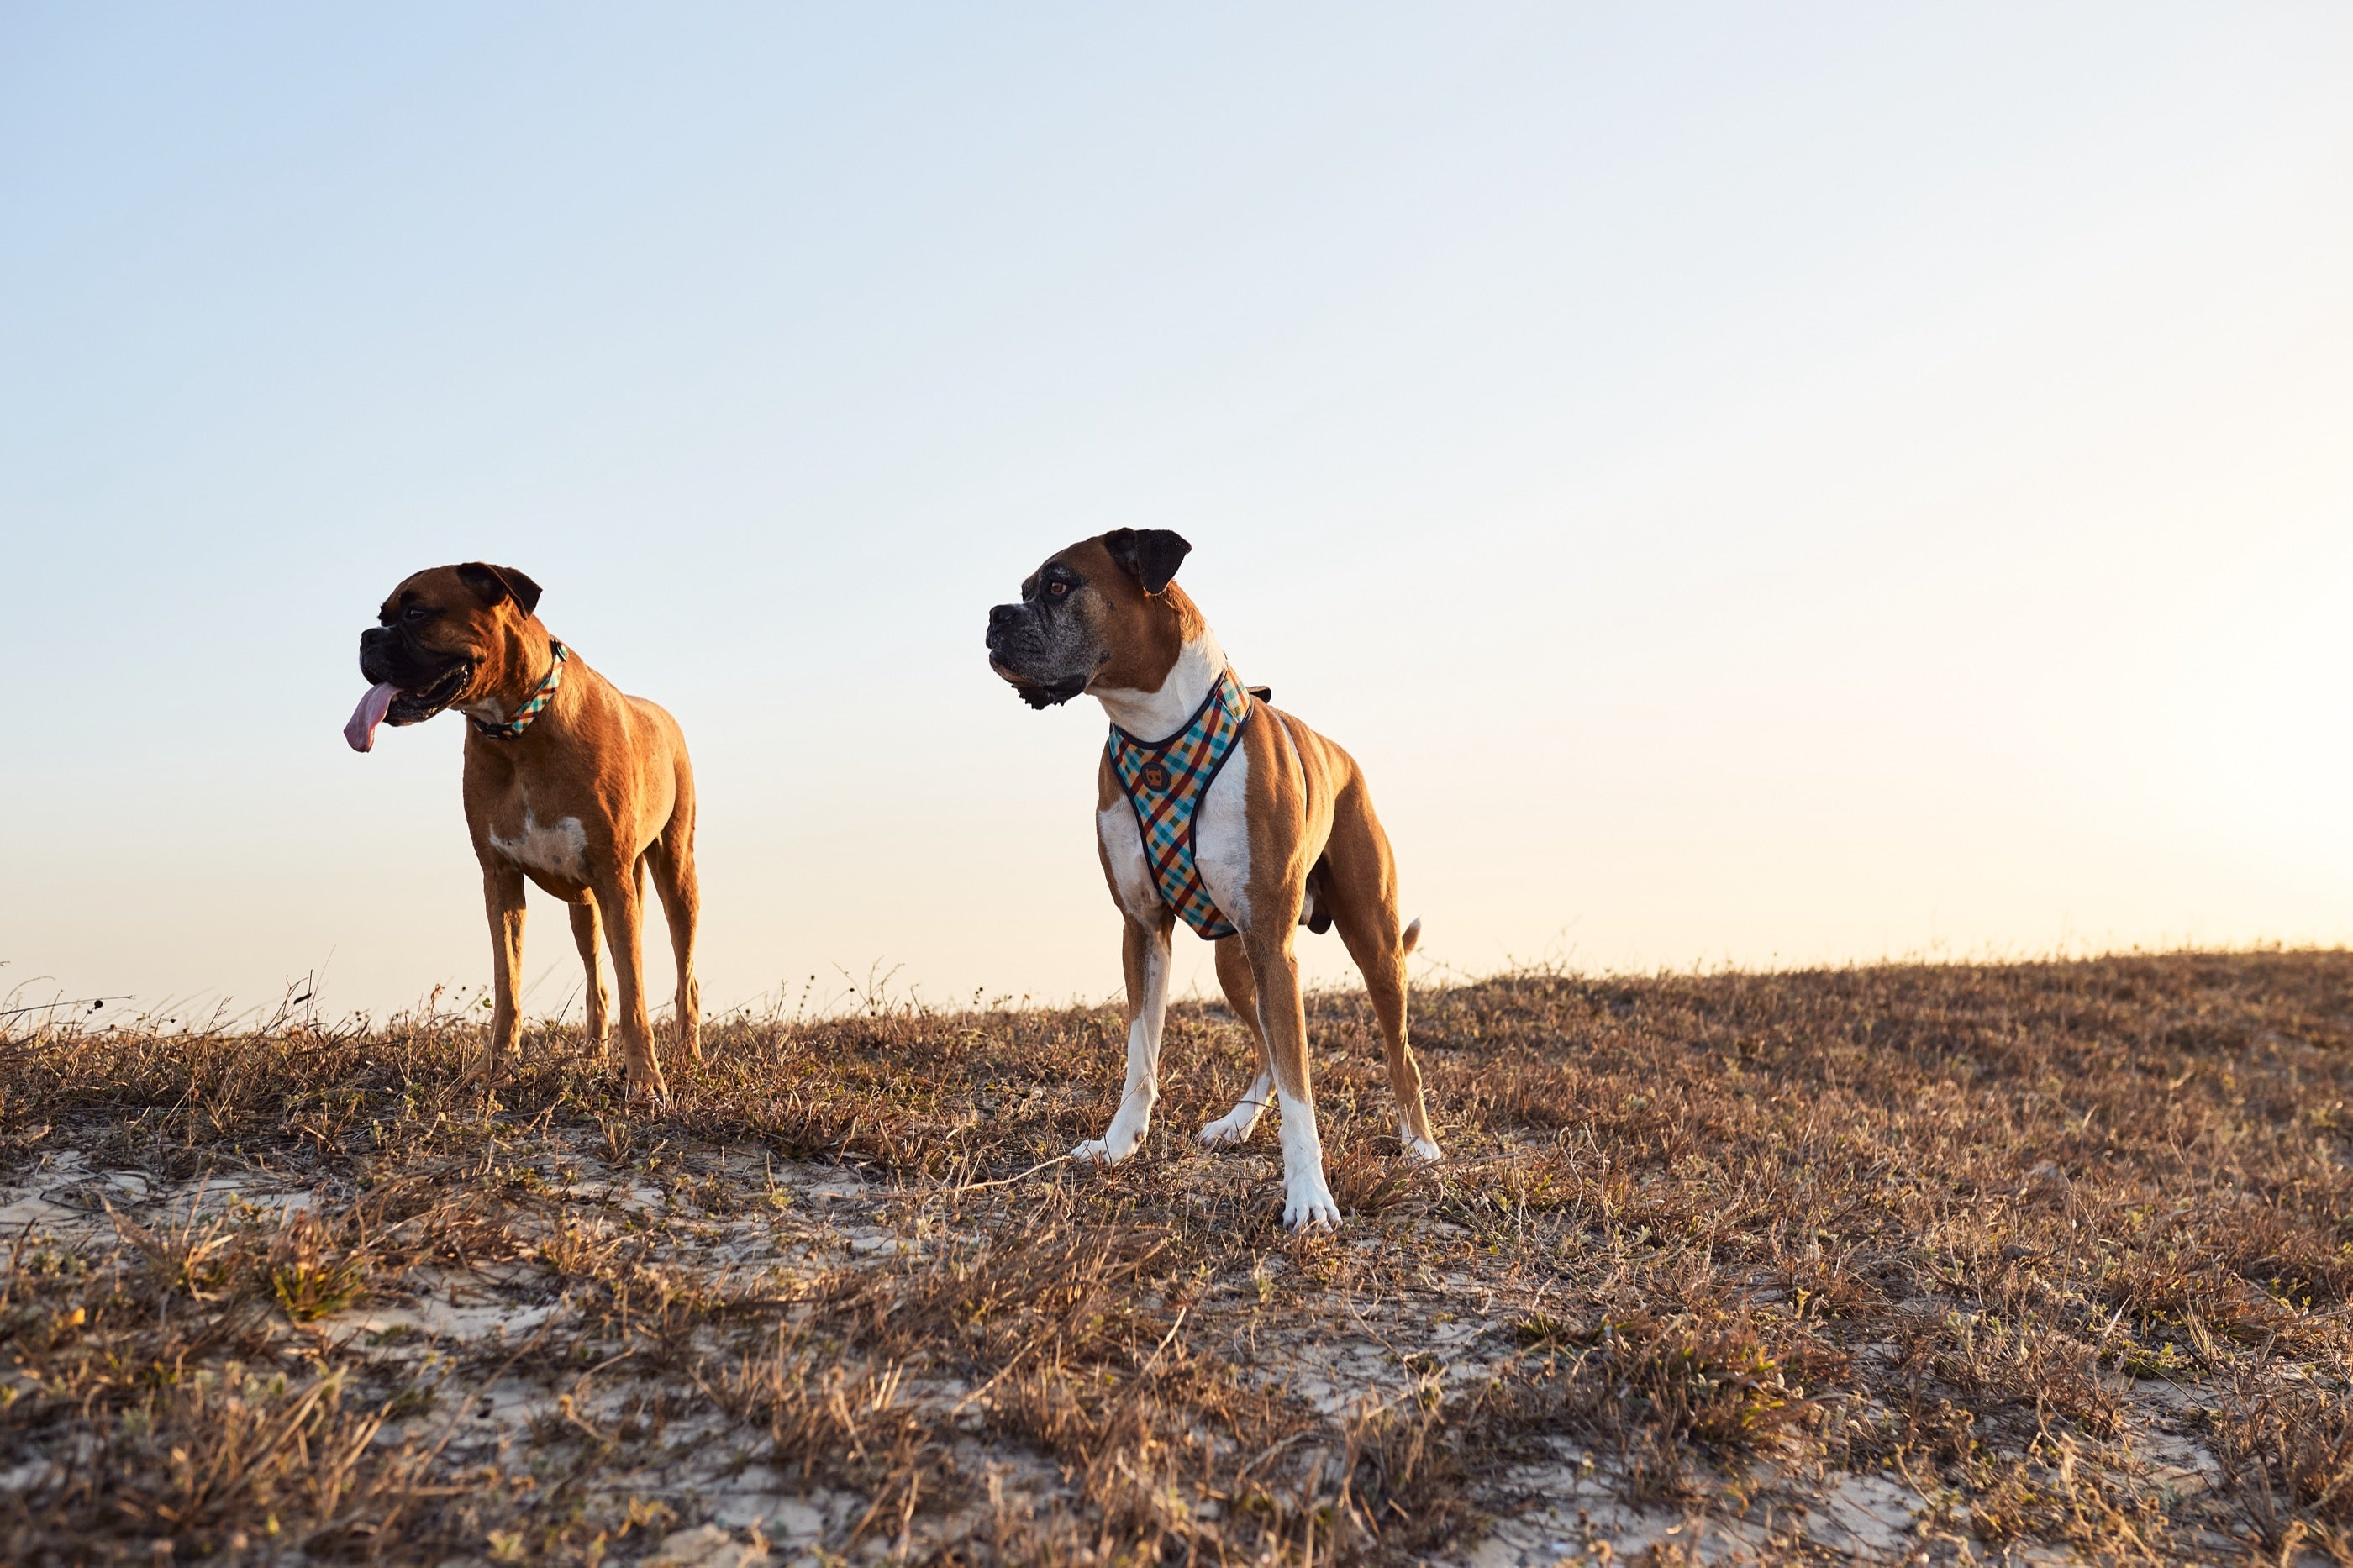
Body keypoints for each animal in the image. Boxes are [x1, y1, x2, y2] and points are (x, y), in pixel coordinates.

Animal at [343, 565, 696, 1097]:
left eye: (416, 613)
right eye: (381, 617)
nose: (366, 638)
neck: (519, 731)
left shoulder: (614, 878)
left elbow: (635, 992)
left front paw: (644, 1079)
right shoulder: (501, 879)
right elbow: (507, 983)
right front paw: (495, 1069)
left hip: (674, 877)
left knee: (682, 976)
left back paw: (689, 1056)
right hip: (585, 907)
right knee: (599, 982)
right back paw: (592, 1056)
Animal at [983, 532, 1440, 1223]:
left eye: (1059, 585)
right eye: (1025, 588)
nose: (994, 616)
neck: (1155, 735)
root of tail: (1343, 757)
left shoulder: (1272, 944)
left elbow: (1301, 1085)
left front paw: (1309, 1197)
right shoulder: (1143, 929)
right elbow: (1141, 1055)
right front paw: (1119, 1146)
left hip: (1371, 945)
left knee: (1397, 1052)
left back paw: (1420, 1146)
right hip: (1238, 963)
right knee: (1265, 1050)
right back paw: (1236, 1124)